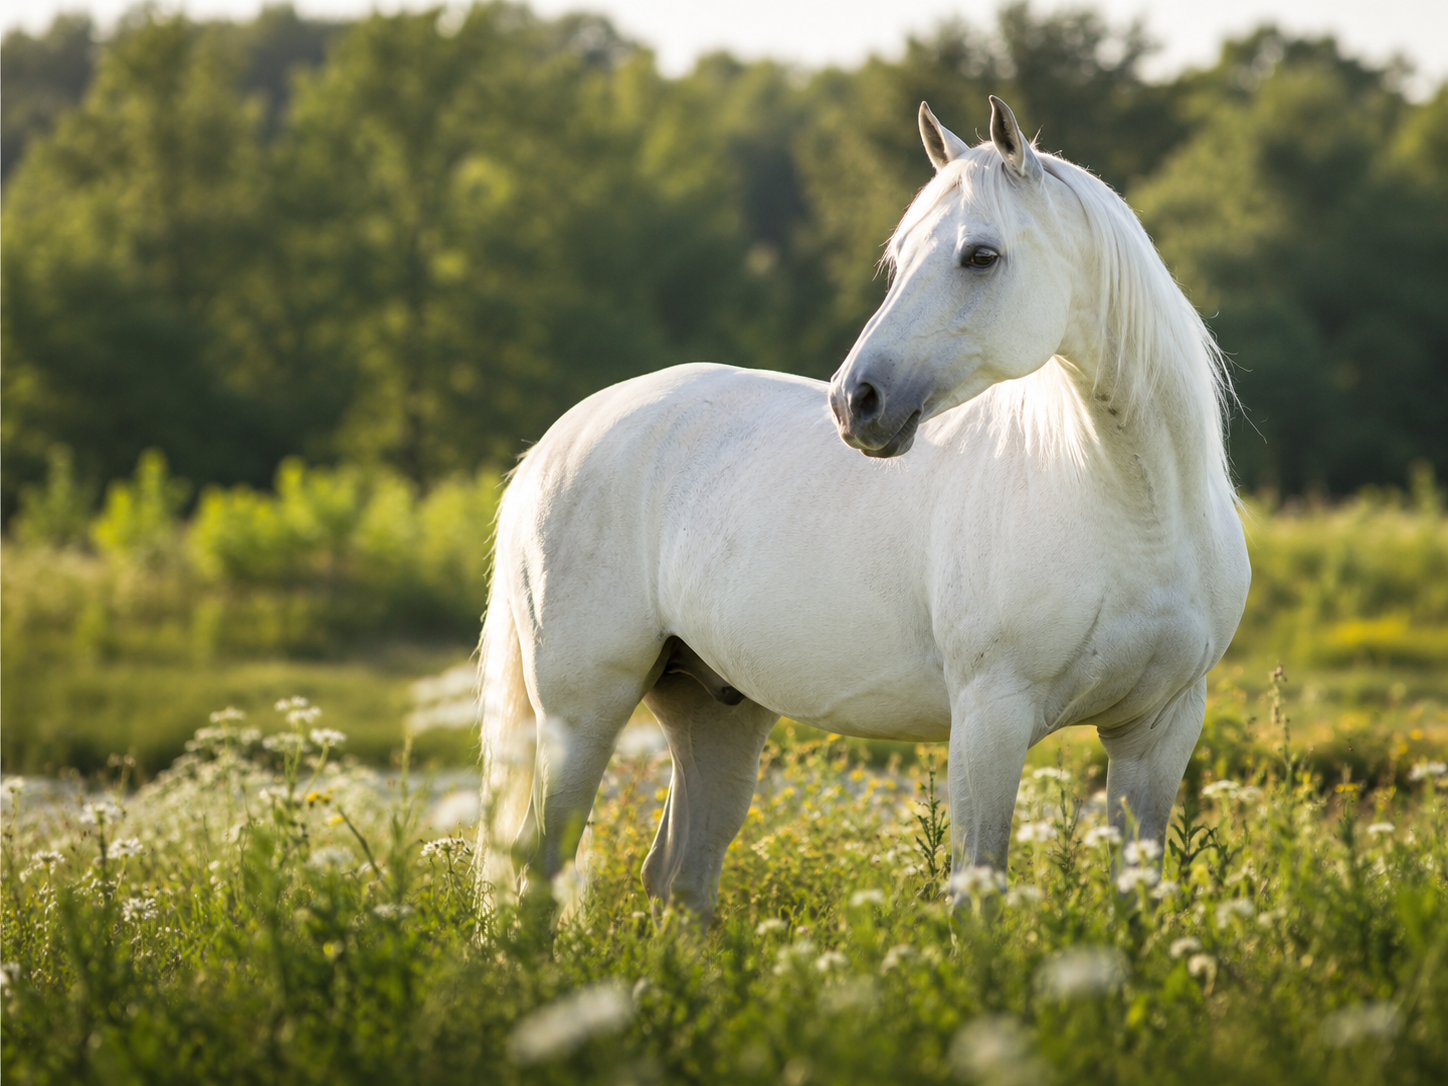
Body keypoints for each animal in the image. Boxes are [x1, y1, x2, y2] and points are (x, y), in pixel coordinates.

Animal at [476, 96, 1250, 925]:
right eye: (899, 258)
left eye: (981, 256)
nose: (857, 402)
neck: (1136, 508)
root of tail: (557, 442)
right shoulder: (990, 721)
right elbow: (977, 893)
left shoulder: (1159, 731)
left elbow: (1134, 898)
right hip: (581, 714)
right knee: (542, 870)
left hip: (716, 711)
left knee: (680, 875)